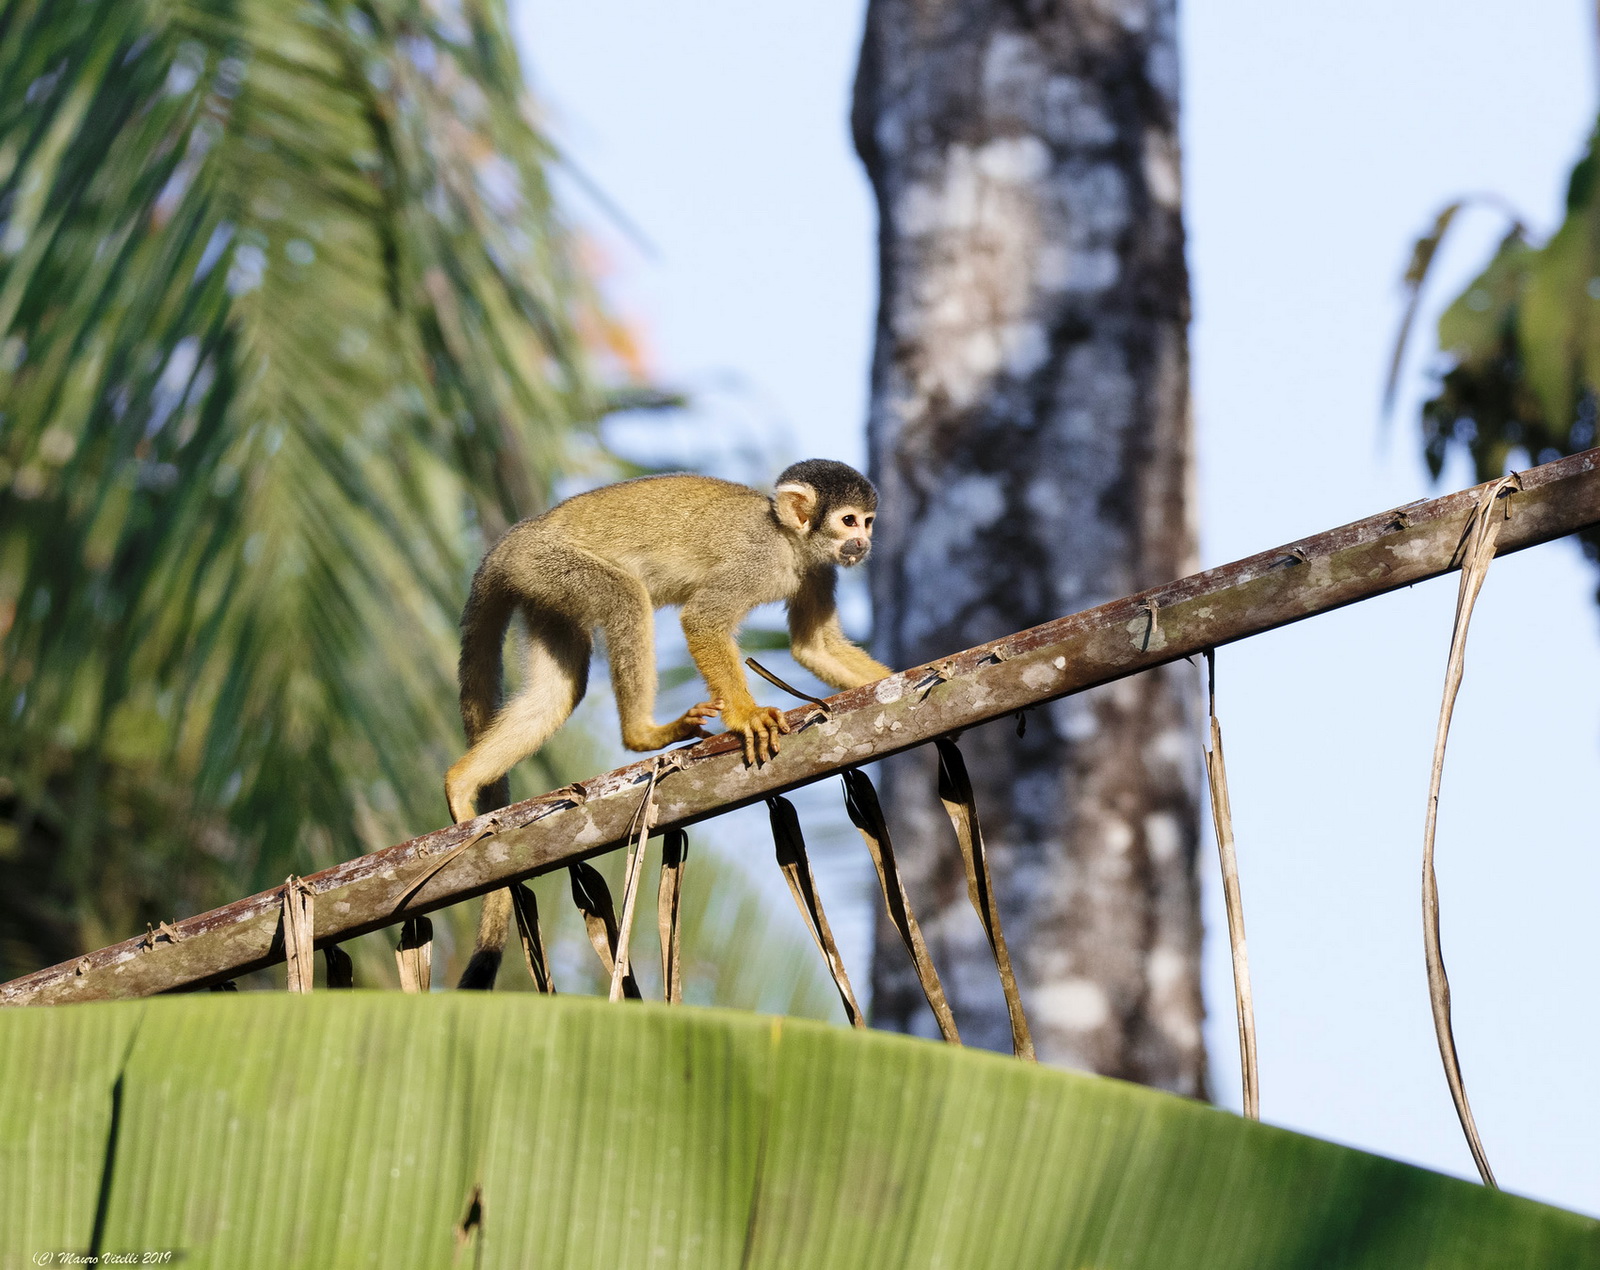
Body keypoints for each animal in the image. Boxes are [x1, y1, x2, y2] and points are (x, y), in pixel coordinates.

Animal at [446, 458, 891, 989]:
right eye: (848, 521)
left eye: (867, 522)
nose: (863, 543)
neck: (790, 542)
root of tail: (513, 537)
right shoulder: (757, 561)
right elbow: (702, 619)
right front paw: (746, 717)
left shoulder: (817, 569)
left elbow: (815, 648)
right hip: (546, 563)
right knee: (624, 597)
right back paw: (644, 733)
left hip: (542, 587)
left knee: (555, 695)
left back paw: (461, 780)